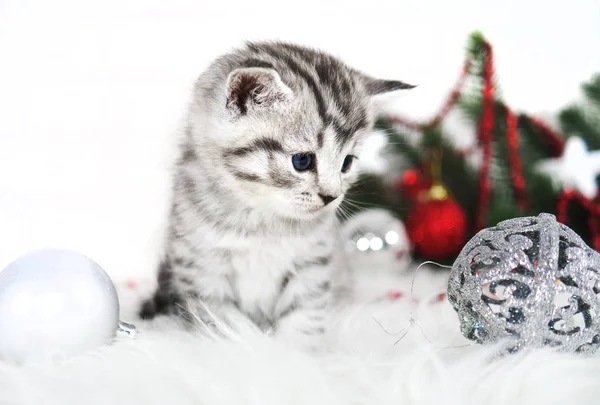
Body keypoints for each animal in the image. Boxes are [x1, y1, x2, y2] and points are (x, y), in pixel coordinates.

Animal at [140, 41, 412, 350]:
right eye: (302, 161)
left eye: (347, 163)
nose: (331, 197)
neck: (263, 220)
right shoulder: (201, 272)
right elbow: (228, 326)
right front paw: (255, 348)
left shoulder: (313, 263)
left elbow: (304, 317)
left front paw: (297, 354)